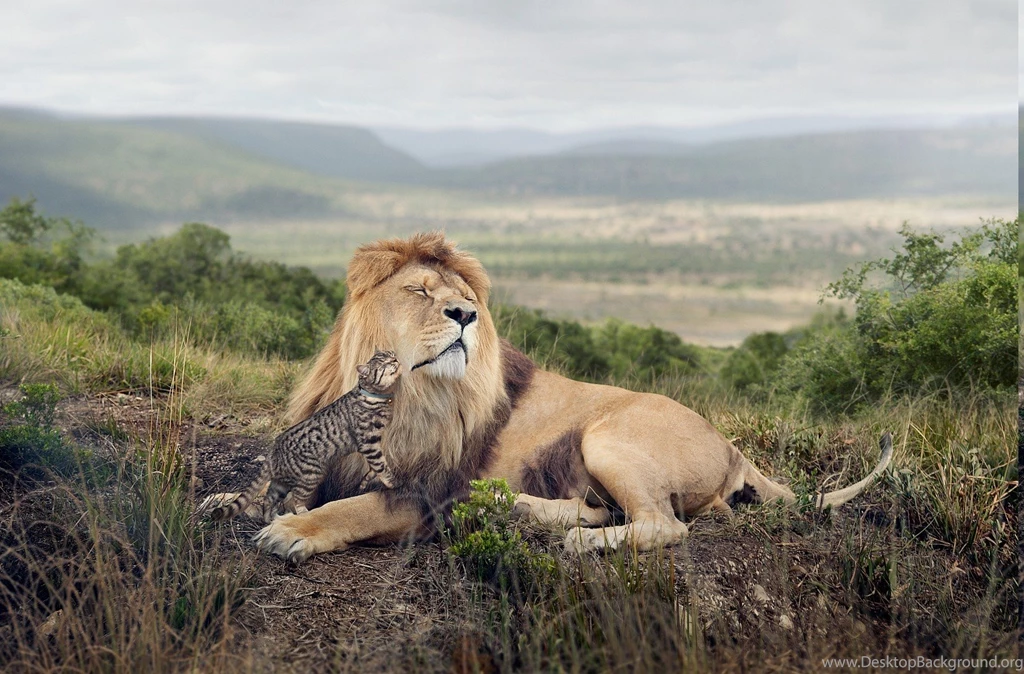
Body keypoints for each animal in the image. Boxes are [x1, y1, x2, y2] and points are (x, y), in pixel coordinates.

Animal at [251, 232, 892, 563]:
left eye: (465, 298)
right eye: (418, 291)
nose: (466, 315)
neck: (408, 392)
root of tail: (733, 447)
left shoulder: (428, 493)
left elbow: (355, 508)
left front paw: (293, 531)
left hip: (606, 437)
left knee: (663, 524)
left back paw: (581, 539)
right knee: (611, 509)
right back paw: (518, 508)